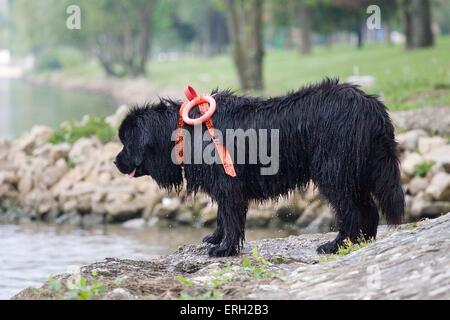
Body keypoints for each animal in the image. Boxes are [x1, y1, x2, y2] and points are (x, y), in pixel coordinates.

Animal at [115, 79, 404, 258]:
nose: (116, 162)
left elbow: (230, 217)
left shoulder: (229, 185)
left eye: (126, 142)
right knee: (368, 208)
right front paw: (216, 239)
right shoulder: (225, 185)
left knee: (351, 211)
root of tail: (370, 105)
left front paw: (224, 249)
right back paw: (363, 241)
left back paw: (336, 244)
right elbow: (222, 215)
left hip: (333, 173)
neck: (187, 130)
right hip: (359, 171)